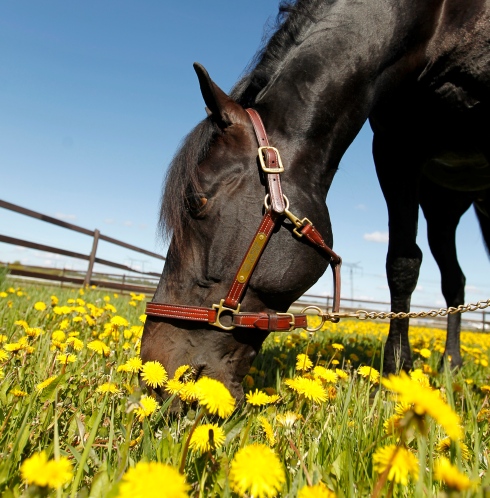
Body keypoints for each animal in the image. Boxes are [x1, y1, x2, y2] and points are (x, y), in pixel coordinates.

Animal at [141, 0, 490, 398]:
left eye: (196, 202)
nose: (152, 370)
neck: (439, 19)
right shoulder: (394, 149)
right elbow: (401, 264)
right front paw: (398, 376)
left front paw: (396, 376)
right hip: (443, 206)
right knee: (455, 282)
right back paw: (452, 363)